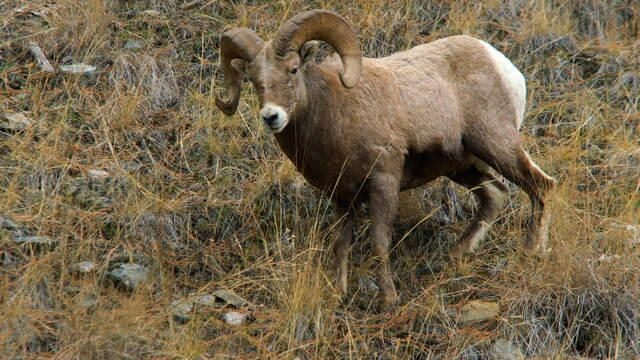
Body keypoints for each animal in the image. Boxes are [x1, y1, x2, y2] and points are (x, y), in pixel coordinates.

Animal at [214, 9, 556, 308]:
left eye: (293, 69)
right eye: (253, 80)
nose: (271, 116)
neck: (337, 113)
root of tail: (504, 66)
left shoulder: (383, 182)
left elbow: (379, 242)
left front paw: (388, 301)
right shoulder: (342, 197)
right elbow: (341, 243)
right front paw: (338, 294)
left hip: (497, 145)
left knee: (540, 186)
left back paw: (533, 252)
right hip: (462, 166)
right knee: (495, 194)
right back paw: (455, 257)